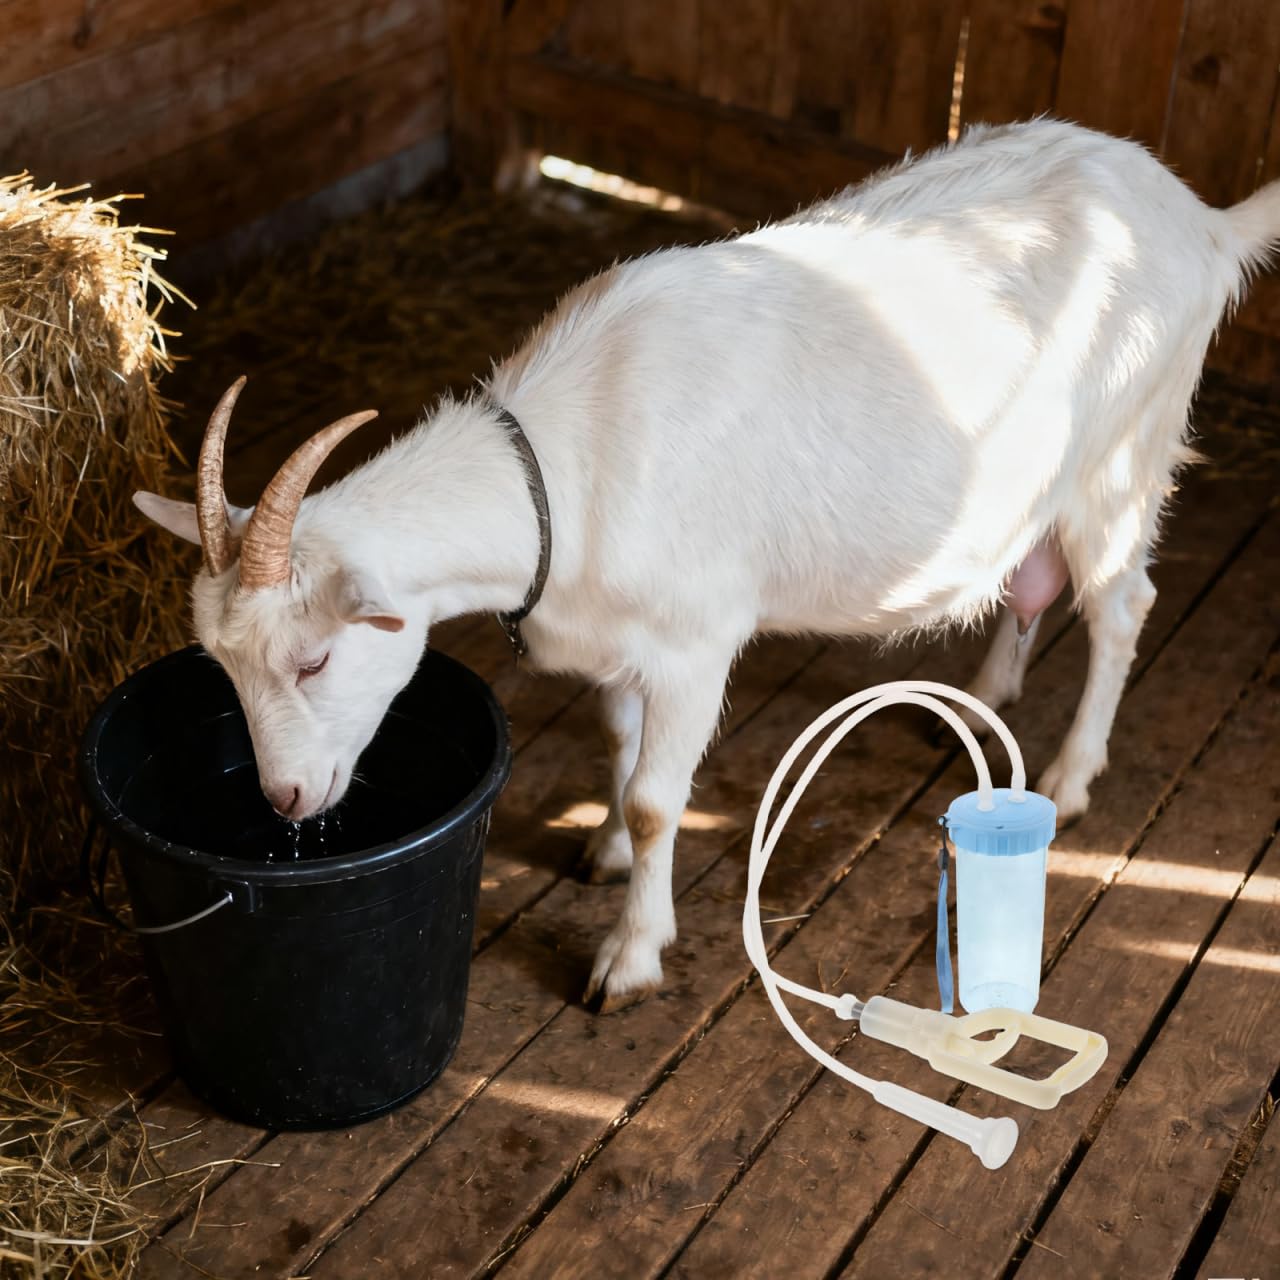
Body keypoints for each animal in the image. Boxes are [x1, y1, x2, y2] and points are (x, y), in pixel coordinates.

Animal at [135, 119, 1280, 1012]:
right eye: (222, 666)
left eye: (315, 660)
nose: (285, 801)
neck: (569, 465)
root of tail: (1202, 219)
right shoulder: (617, 644)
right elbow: (618, 745)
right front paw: (601, 850)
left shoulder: (695, 644)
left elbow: (657, 796)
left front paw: (628, 957)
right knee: (1028, 577)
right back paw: (989, 692)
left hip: (1122, 460)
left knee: (1122, 604)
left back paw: (1072, 776)